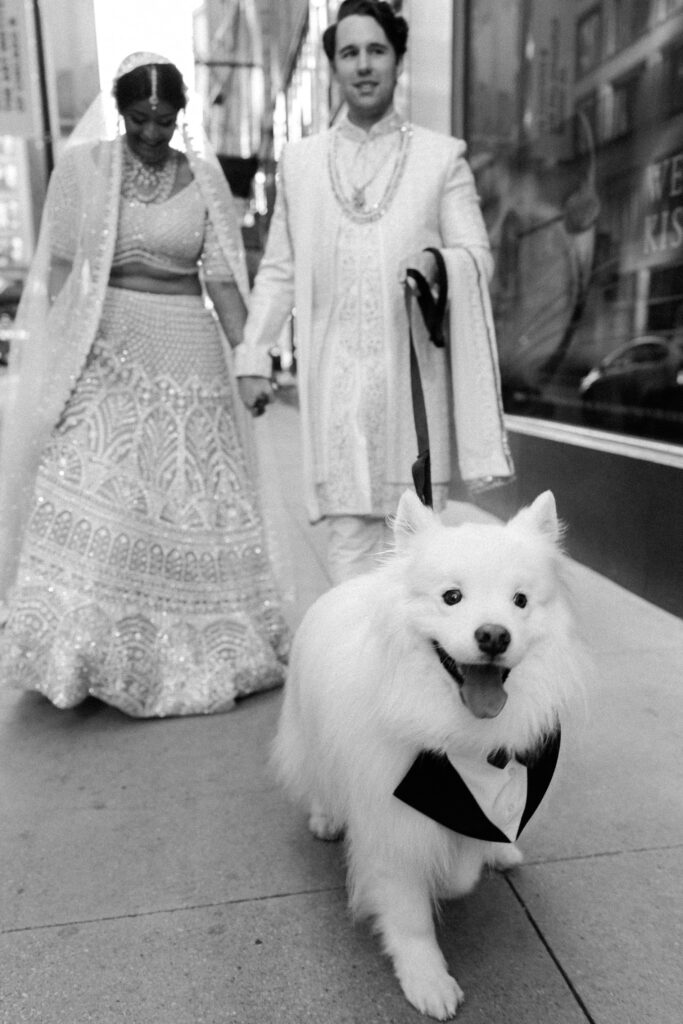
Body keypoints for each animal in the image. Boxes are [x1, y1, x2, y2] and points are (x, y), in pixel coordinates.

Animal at [274, 491, 589, 1019]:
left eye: (520, 601)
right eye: (452, 597)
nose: (494, 635)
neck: (466, 746)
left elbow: (464, 865)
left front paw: (476, 860)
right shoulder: (393, 824)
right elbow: (411, 916)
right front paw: (427, 980)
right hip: (309, 732)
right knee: (318, 776)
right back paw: (326, 818)